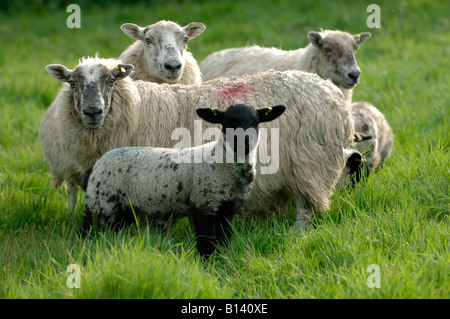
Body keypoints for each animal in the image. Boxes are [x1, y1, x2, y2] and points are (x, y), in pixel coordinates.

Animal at [80, 104, 284, 258]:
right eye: (226, 122)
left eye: (255, 122)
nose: (244, 143)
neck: (222, 164)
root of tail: (95, 165)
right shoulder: (204, 206)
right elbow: (206, 244)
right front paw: (209, 266)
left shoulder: (226, 210)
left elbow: (225, 239)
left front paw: (224, 259)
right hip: (99, 203)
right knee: (87, 230)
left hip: (123, 210)